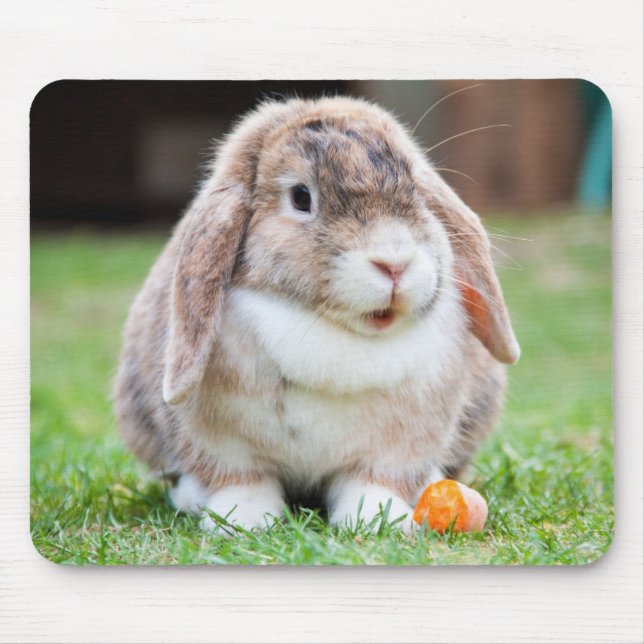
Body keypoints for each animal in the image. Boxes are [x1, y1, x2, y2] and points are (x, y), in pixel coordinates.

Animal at [114, 96, 520, 534]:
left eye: (414, 187)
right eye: (300, 197)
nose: (394, 263)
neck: (333, 329)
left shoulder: (396, 448)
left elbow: (372, 482)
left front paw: (378, 521)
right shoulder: (223, 445)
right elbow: (242, 481)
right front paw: (243, 521)